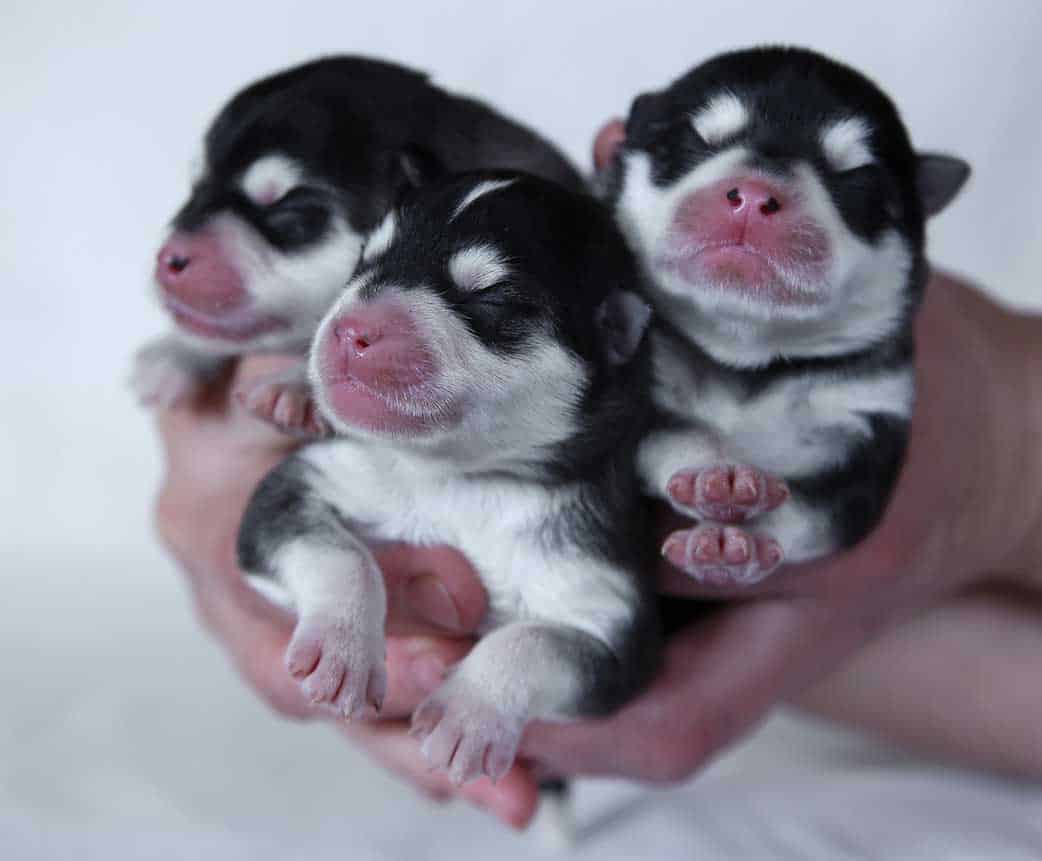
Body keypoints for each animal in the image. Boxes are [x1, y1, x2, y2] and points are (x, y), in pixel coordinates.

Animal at [237, 174, 658, 783]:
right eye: (365, 260)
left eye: (490, 296)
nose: (350, 330)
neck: (461, 478)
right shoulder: (305, 481)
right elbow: (337, 553)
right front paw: (341, 648)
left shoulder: (613, 617)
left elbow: (535, 641)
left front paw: (470, 713)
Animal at [596, 45, 966, 583]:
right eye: (694, 140)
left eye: (855, 178)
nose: (752, 195)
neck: (748, 359)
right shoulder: (635, 393)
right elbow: (672, 431)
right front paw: (713, 474)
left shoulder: (870, 437)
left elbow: (815, 514)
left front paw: (744, 545)